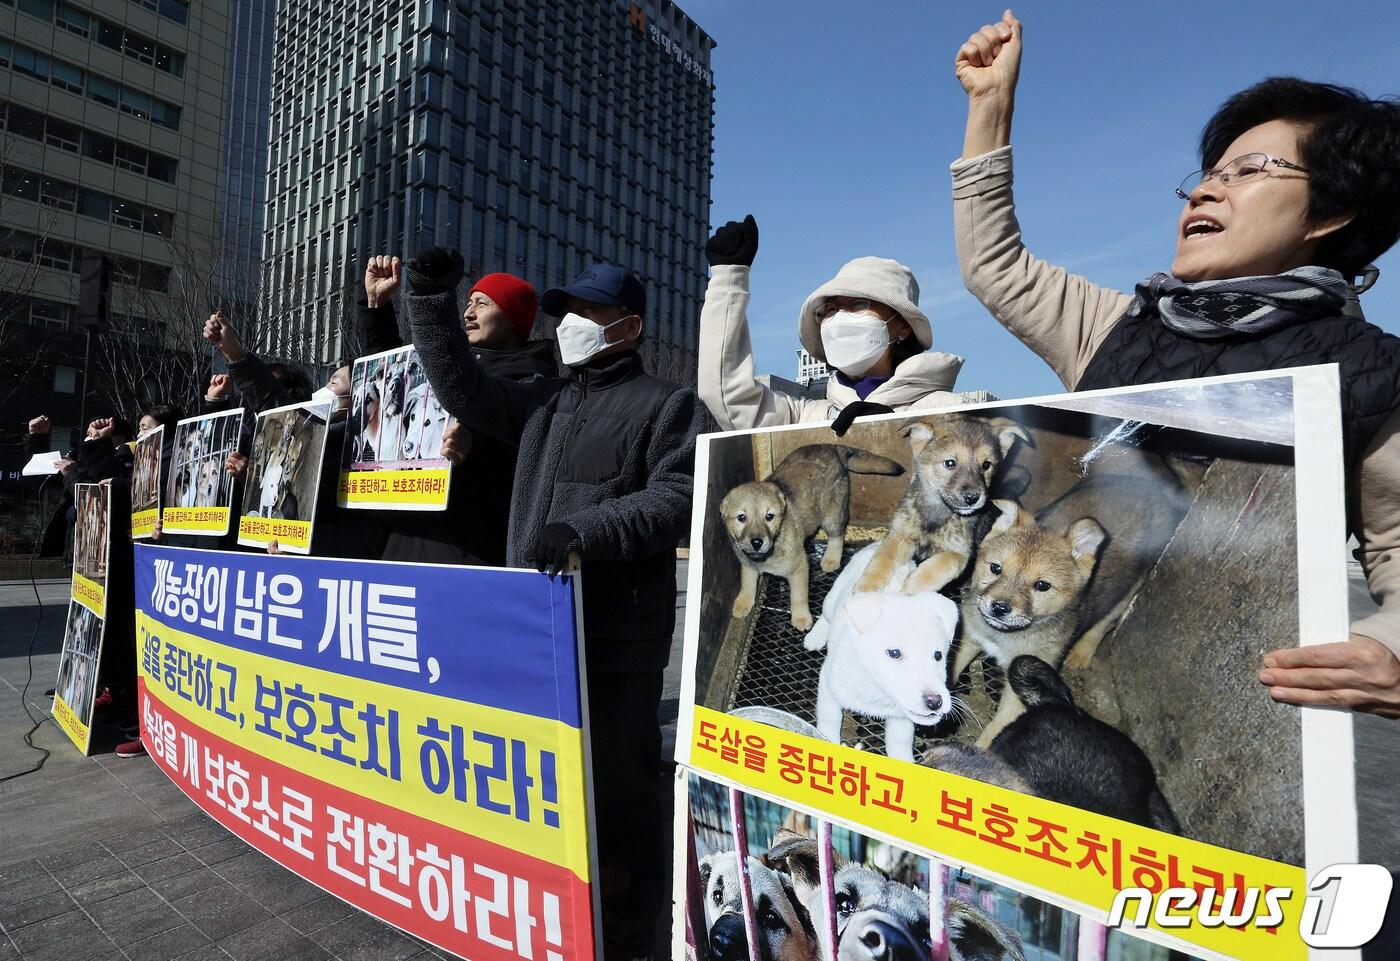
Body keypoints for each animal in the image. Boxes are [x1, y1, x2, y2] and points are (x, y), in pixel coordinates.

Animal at [722, 445, 907, 633]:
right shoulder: (747, 563)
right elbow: (747, 583)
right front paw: (743, 603)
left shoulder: (799, 568)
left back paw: (831, 559)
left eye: (769, 516)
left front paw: (801, 617)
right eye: (741, 518)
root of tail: (833, 448)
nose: (757, 542)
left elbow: (798, 596)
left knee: (838, 535)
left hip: (832, 514)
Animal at [812, 543, 963, 762]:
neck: (878, 690)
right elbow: (829, 719)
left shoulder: (901, 717)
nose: (935, 702)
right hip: (832, 598)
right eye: (894, 653)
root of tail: (877, 543)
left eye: (938, 655)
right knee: (825, 615)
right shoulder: (828, 687)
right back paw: (814, 637)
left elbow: (900, 741)